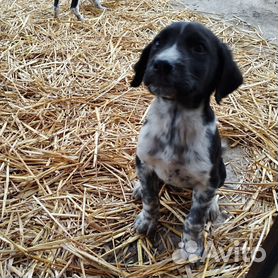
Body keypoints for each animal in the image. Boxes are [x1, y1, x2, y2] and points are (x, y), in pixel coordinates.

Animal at [131, 21, 242, 258]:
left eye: (199, 48)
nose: (162, 64)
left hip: (220, 170)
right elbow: (150, 199)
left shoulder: (206, 182)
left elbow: (194, 219)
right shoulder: (144, 161)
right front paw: (147, 221)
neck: (175, 120)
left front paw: (191, 246)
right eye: (158, 43)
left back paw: (212, 207)